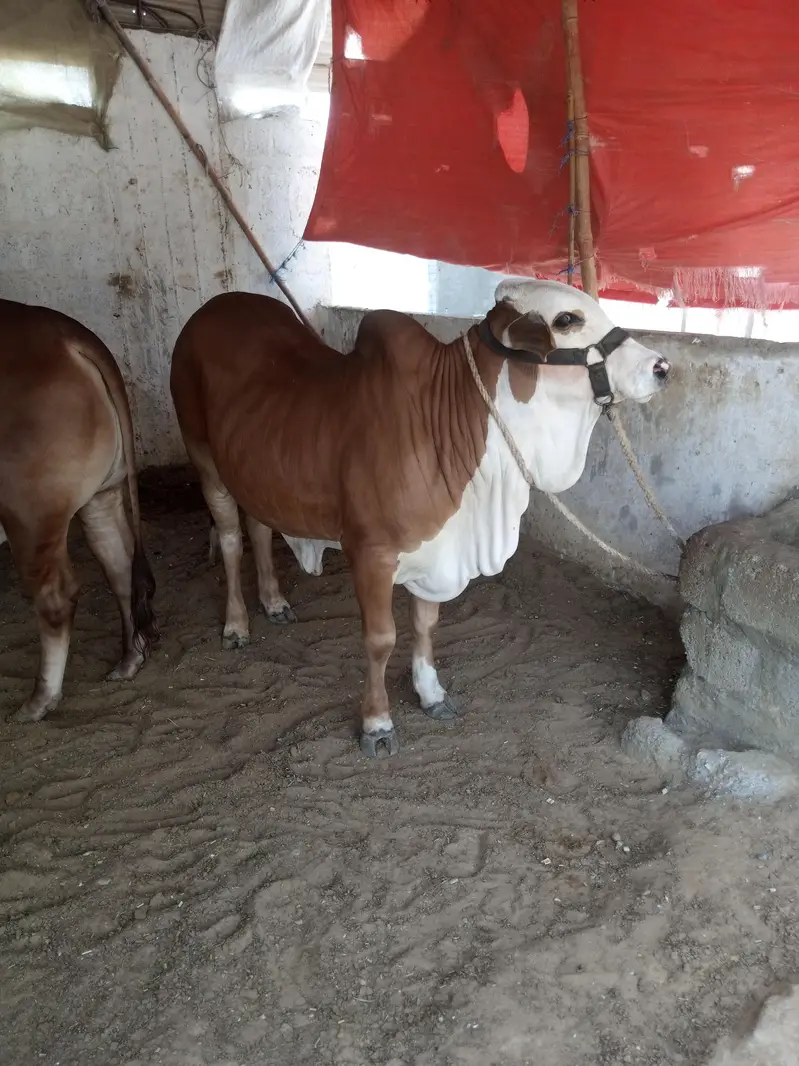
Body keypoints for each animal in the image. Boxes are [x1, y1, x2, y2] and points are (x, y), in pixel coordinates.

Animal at [0, 300, 157, 723]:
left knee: (56, 597)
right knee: (119, 565)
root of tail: (62, 333)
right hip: (101, 493)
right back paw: (128, 661)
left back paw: (39, 701)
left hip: (29, 511)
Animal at [170, 279, 670, 756]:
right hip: (204, 457)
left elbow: (425, 625)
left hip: (253, 473)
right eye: (567, 319)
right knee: (230, 538)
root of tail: (211, 309)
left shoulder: (437, 549)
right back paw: (236, 625)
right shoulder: (370, 553)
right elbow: (381, 639)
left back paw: (274, 602)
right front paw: (377, 724)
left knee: (257, 527)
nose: (661, 367)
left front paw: (431, 694)